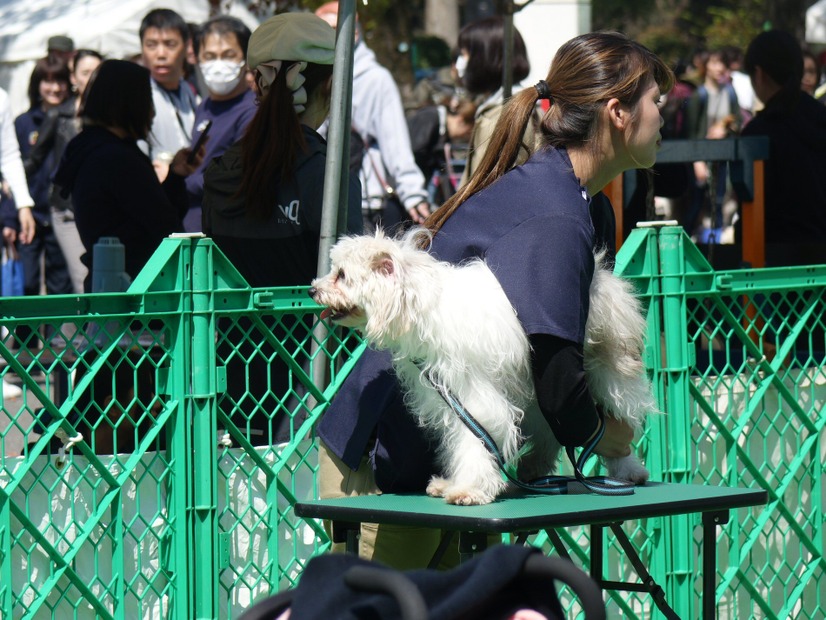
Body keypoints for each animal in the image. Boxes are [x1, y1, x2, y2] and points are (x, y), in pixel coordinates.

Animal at [310, 228, 656, 504]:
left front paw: (469, 490)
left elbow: (477, 440)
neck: (419, 305)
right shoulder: (450, 401)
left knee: (617, 420)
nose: (312, 289)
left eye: (342, 275)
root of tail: (601, 276)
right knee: (550, 431)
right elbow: (463, 440)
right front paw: (453, 483)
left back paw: (628, 471)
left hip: (607, 371)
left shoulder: (473, 395)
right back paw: (535, 468)